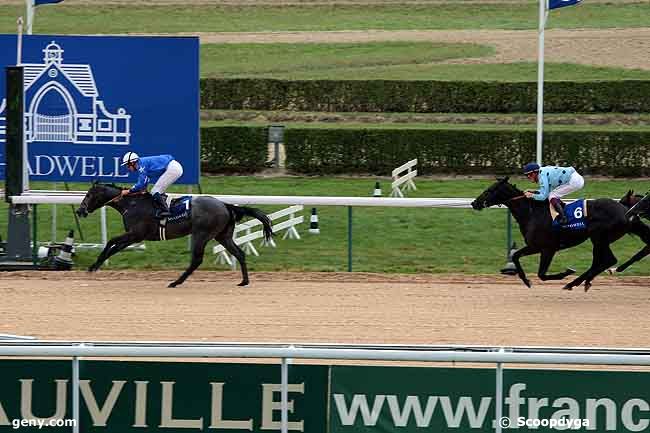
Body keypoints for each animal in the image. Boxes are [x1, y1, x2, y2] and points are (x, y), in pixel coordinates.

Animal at [76, 182, 274, 286]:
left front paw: (94, 265)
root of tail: (225, 205)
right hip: (222, 236)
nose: (79, 211)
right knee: (239, 253)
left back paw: (176, 282)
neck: (131, 204)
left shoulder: (136, 234)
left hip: (201, 234)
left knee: (197, 260)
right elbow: (113, 245)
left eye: (89, 195)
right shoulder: (133, 236)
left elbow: (111, 242)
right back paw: (244, 281)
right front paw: (95, 265)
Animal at [470, 177, 648, 292]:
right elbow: (515, 256)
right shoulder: (536, 246)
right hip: (600, 239)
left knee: (608, 260)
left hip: (599, 238)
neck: (532, 212)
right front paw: (526, 281)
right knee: (601, 262)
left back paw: (574, 282)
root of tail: (626, 210)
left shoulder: (548, 248)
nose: (474, 203)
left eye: (489, 190)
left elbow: (542, 274)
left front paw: (566, 272)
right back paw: (581, 282)